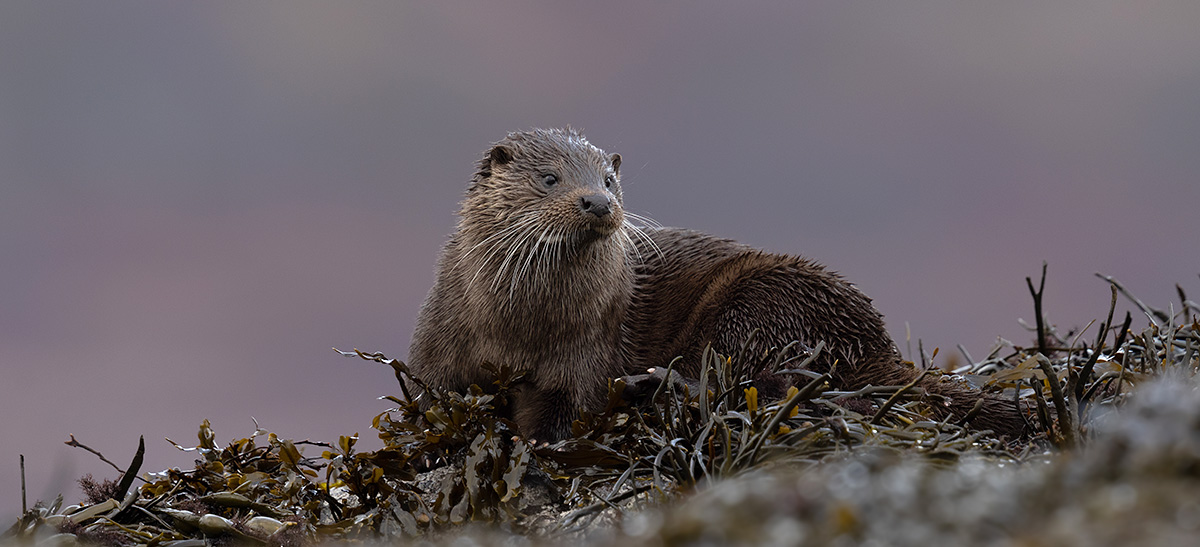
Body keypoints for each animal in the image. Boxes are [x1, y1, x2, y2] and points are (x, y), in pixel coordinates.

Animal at [408, 128, 1023, 441]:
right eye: (549, 178)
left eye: (608, 179)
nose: (599, 202)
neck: (517, 327)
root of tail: (876, 342)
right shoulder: (437, 347)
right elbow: (428, 400)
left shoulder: (584, 354)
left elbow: (563, 417)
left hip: (760, 301)